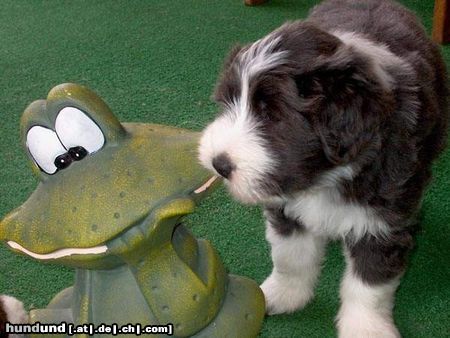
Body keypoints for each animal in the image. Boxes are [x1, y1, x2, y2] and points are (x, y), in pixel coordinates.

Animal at [200, 1, 446, 336]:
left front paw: (366, 328)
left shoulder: (382, 222)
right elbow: (290, 257)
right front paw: (282, 295)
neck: (325, 178)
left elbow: (368, 286)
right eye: (228, 102)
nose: (219, 164)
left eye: (272, 115)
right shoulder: (285, 207)